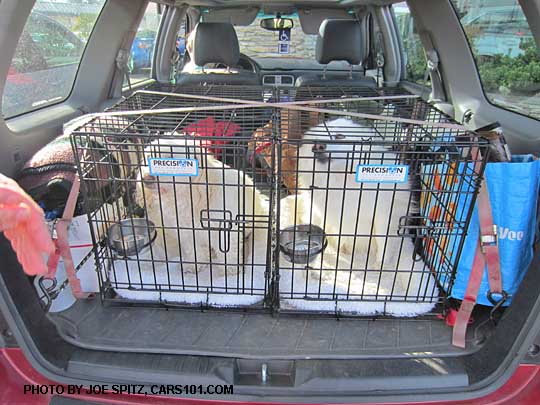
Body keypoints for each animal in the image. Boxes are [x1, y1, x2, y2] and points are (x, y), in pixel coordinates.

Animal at [135, 136, 270, 274]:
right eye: (148, 157)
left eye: (170, 160)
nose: (146, 178)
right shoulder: (187, 231)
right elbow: (194, 250)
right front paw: (194, 265)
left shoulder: (224, 230)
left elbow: (227, 252)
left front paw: (229, 270)